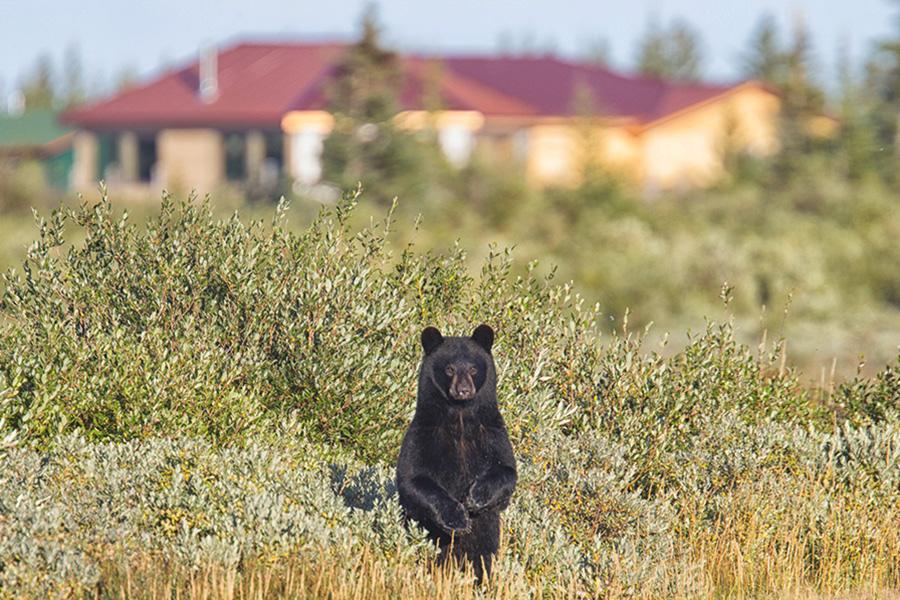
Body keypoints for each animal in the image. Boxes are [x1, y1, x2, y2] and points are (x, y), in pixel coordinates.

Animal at [396, 324, 517, 582]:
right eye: (449, 369)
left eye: (473, 368)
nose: (463, 390)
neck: (460, 418)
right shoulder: (425, 431)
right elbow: (412, 478)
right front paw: (458, 518)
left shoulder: (491, 431)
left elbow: (507, 470)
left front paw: (476, 497)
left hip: (487, 539)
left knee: (482, 560)